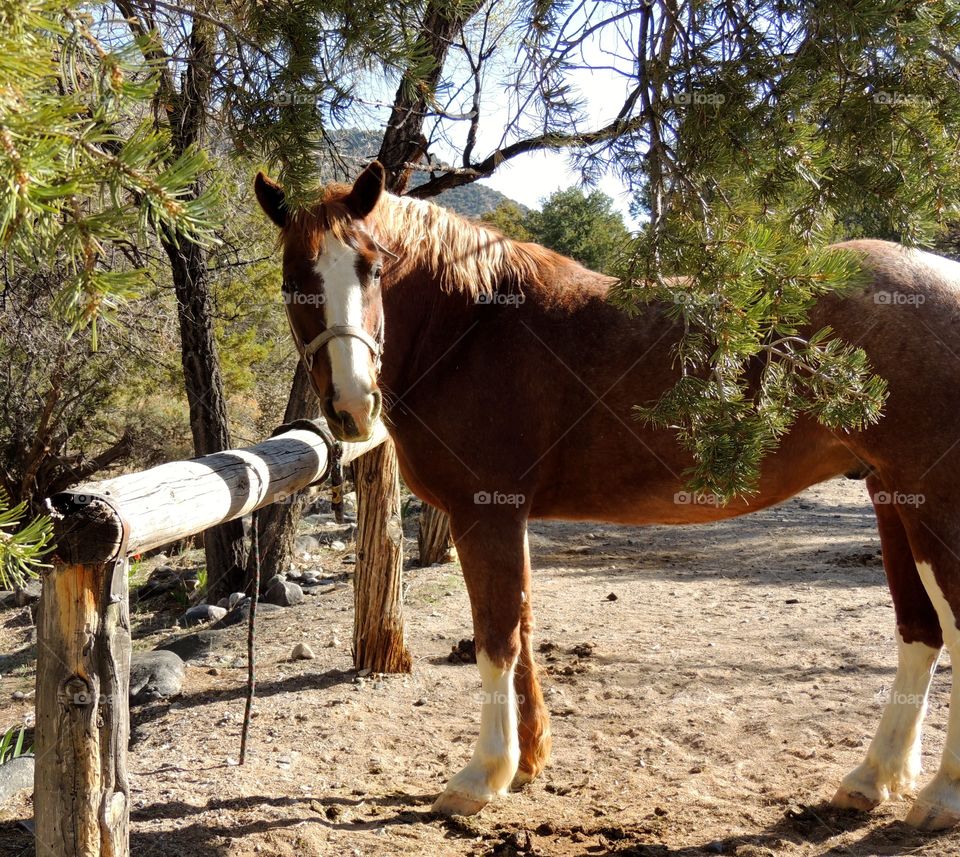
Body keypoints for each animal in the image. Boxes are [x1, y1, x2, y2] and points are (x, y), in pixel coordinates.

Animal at [253, 160, 960, 828]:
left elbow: (496, 641)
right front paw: (528, 763)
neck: (472, 324)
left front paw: (481, 778)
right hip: (891, 497)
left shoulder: (485, 513)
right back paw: (873, 778)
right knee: (919, 631)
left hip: (932, 502)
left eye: (373, 269)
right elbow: (522, 629)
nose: (352, 405)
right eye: (293, 279)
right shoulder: (506, 518)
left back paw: (940, 796)